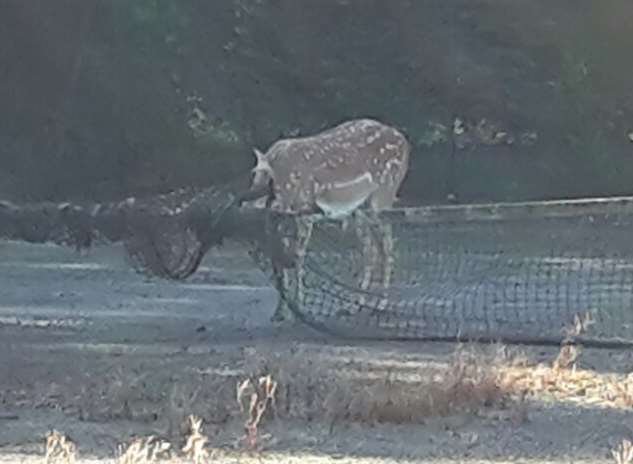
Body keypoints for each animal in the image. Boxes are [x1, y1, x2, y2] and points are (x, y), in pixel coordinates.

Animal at [242, 118, 410, 322]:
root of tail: (405, 143)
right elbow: (281, 261)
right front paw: (280, 312)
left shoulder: (304, 211)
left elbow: (298, 257)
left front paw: (299, 307)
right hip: (360, 209)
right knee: (371, 250)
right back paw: (356, 305)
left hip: (383, 196)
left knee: (388, 247)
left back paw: (382, 305)